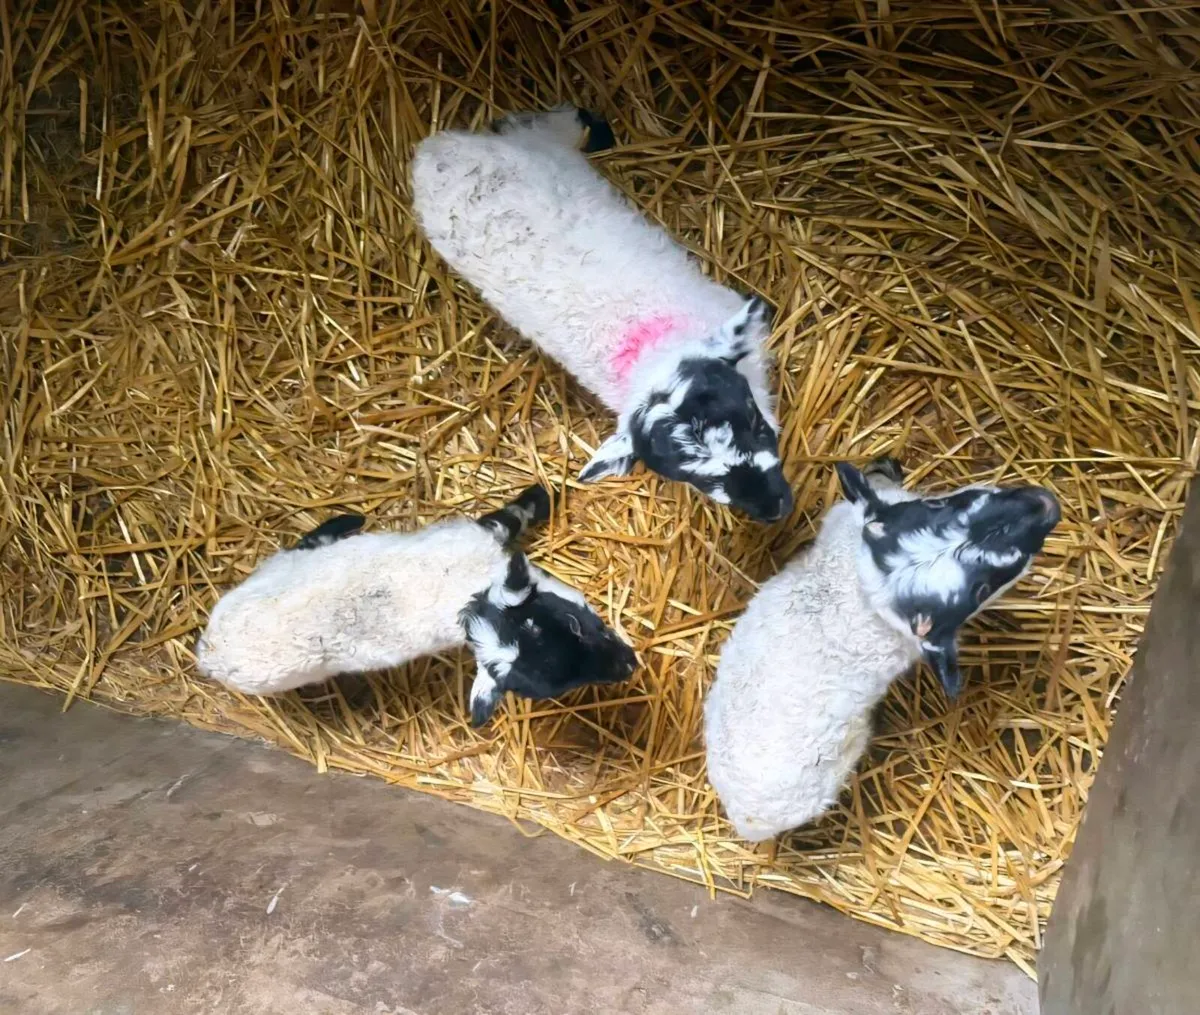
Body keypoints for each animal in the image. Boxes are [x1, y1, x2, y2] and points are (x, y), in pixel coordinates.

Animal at [196, 485, 637, 726]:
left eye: (576, 623)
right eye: (559, 688)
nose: (630, 665)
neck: (467, 591)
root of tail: (209, 653)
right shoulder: (478, 534)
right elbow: (511, 517)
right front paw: (542, 496)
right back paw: (346, 522)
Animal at [410, 106, 793, 523]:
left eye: (750, 421)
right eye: (694, 478)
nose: (776, 508)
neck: (651, 345)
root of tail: (436, 153)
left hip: (540, 151)